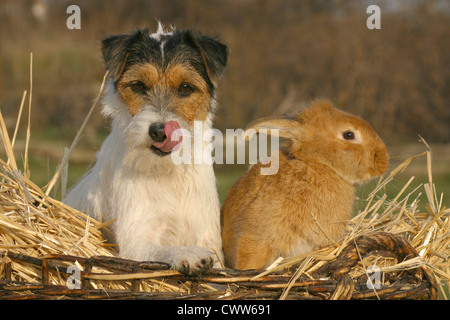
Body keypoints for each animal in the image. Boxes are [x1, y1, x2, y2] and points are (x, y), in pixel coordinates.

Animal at [64, 23, 229, 276]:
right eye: (138, 85)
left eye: (186, 87)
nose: (160, 132)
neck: (167, 173)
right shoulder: (136, 242)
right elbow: (161, 250)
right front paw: (188, 254)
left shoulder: (209, 238)